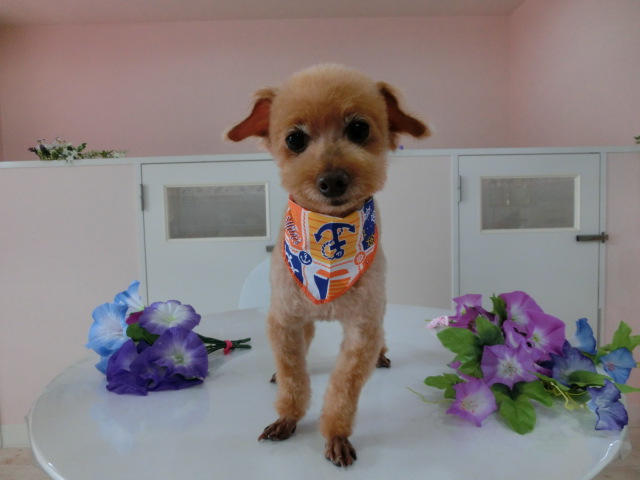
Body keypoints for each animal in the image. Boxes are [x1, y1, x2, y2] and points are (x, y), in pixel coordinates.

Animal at [226, 64, 429, 466]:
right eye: (294, 139)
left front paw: (336, 433)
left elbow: (345, 386)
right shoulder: (285, 319)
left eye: (359, 129)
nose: (332, 179)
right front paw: (287, 416)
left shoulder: (363, 326)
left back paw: (382, 357)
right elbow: (293, 374)